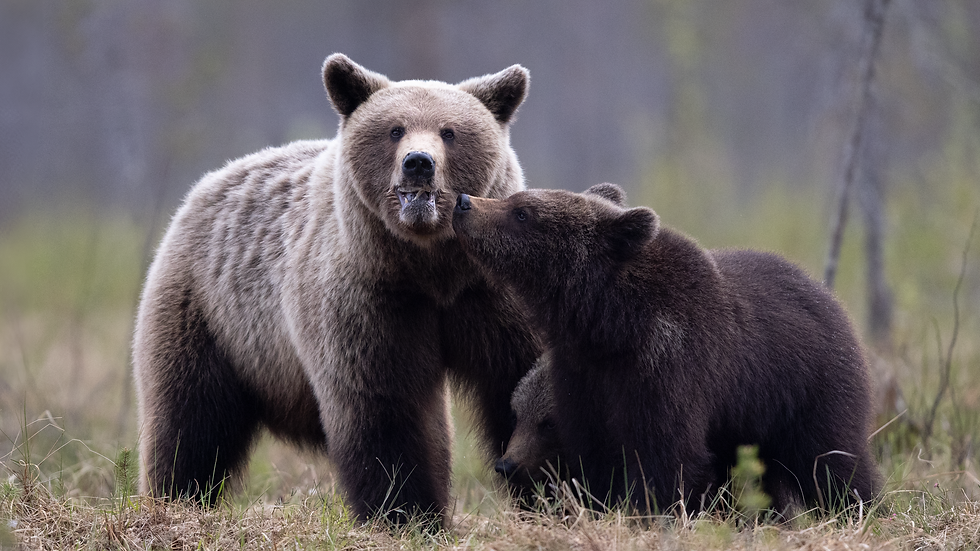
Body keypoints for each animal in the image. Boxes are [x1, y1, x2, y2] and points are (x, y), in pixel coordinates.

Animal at [132, 54, 541, 526]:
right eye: (395, 129)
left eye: (450, 131)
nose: (418, 162)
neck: (430, 267)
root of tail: (206, 185)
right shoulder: (366, 300)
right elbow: (385, 407)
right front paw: (407, 514)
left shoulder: (494, 293)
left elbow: (523, 378)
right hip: (211, 313)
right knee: (190, 421)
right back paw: (175, 500)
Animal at [452, 183, 880, 517]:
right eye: (517, 201)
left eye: (523, 212)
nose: (464, 202)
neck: (609, 326)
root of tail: (829, 298)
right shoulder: (581, 376)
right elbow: (593, 453)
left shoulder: (669, 367)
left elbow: (667, 455)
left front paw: (652, 512)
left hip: (806, 389)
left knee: (831, 462)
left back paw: (859, 509)